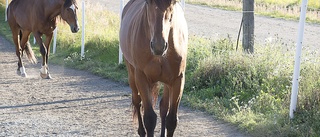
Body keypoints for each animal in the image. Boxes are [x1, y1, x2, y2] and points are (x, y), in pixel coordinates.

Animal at [120, 0, 188, 136]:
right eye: (147, 2)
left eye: (173, 3)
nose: (158, 46)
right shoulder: (142, 78)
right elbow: (150, 119)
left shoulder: (178, 79)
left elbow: (171, 120)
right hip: (132, 74)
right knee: (137, 101)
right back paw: (141, 131)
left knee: (163, 107)